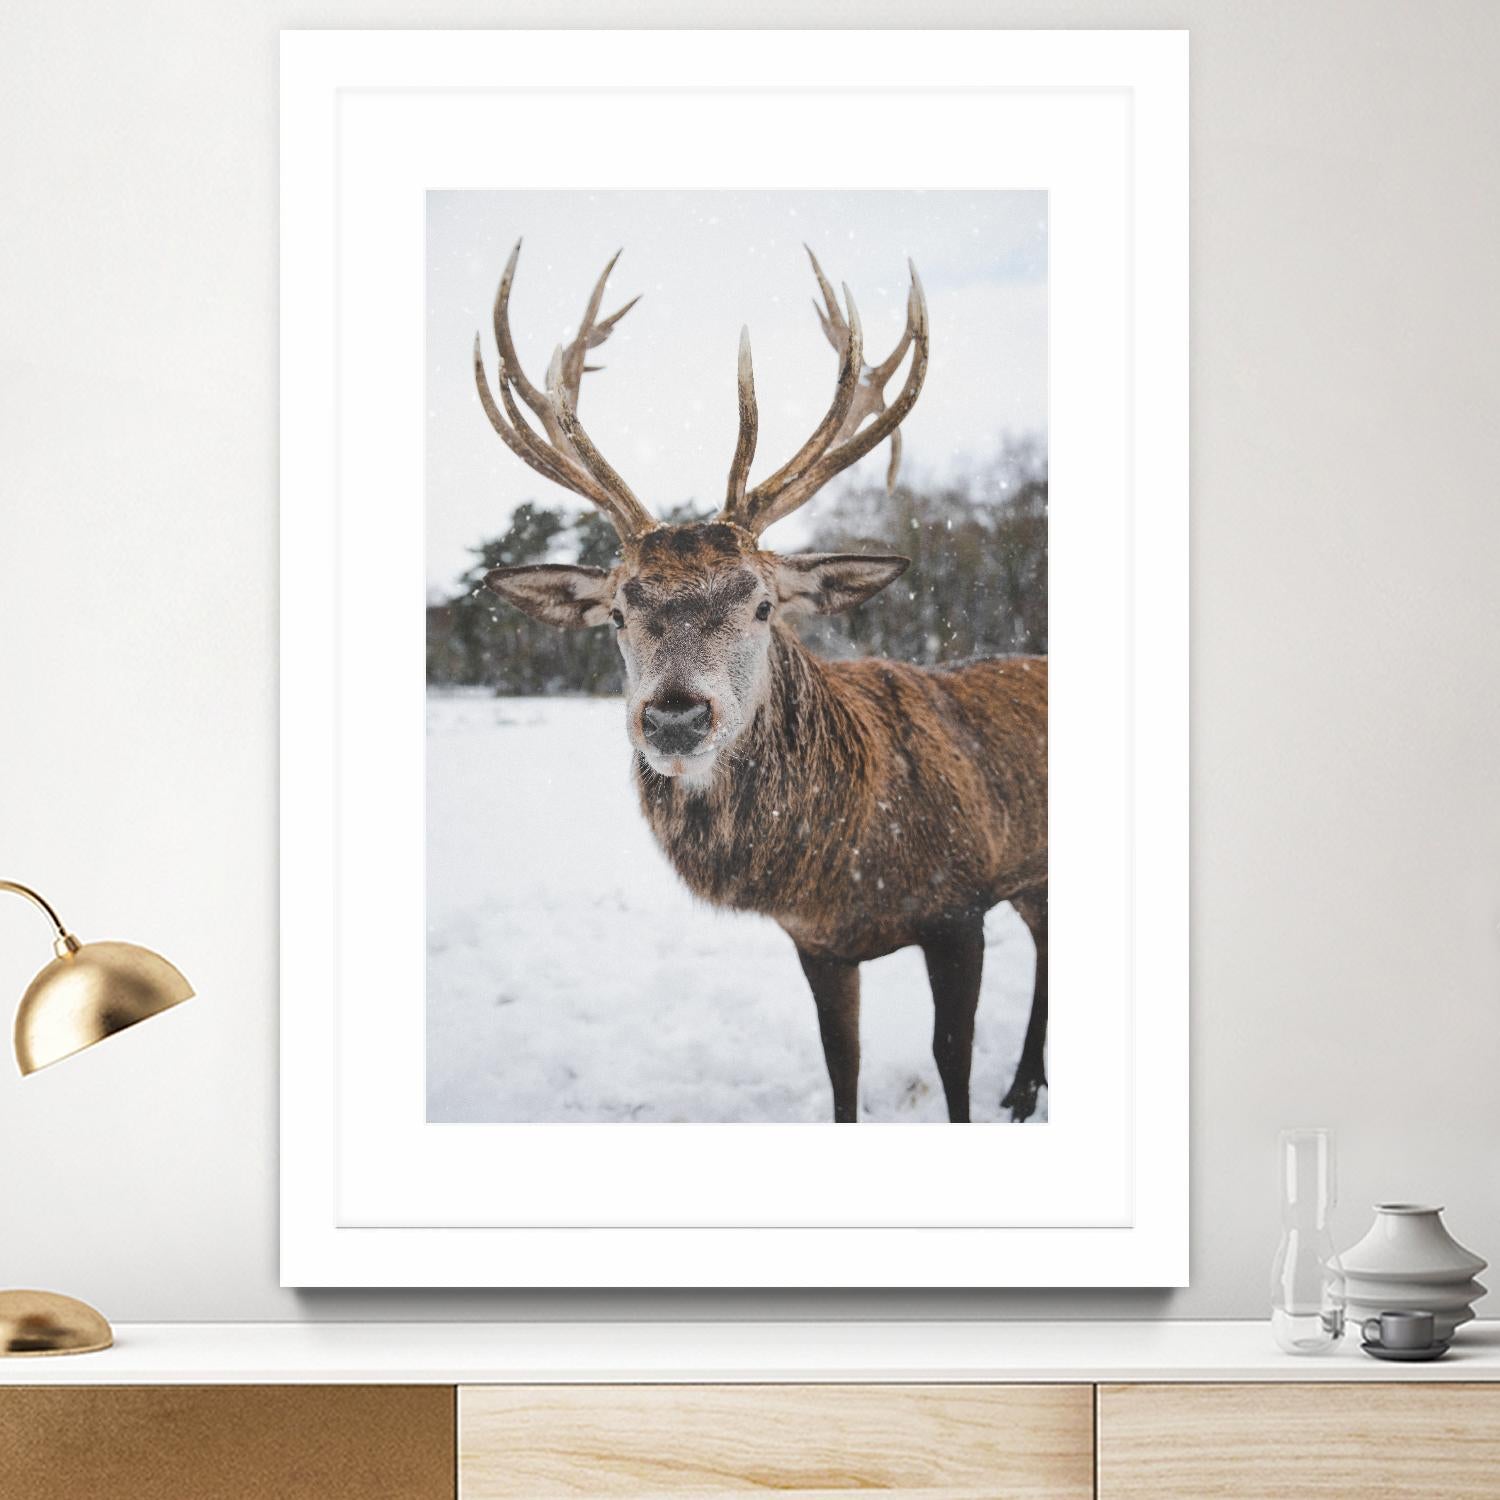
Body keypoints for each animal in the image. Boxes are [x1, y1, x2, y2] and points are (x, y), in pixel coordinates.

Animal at [472, 241, 1048, 1123]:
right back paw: (1023, 1085)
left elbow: (951, 1063)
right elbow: (841, 1068)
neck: (848, 866)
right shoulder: (816, 943)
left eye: (764, 603)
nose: (675, 718)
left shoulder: (960, 905)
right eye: (617, 612)